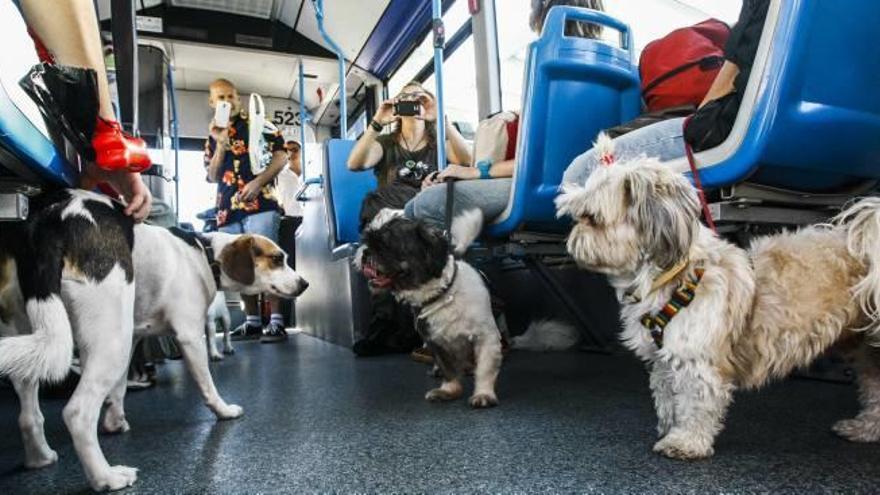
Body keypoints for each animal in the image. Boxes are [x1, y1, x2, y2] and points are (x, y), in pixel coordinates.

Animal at [350, 211, 502, 408]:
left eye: (386, 244)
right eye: (368, 242)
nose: (365, 253)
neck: (443, 295)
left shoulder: (486, 338)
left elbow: (485, 369)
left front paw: (484, 394)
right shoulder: (436, 342)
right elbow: (448, 369)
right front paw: (449, 390)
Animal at [556, 135, 880, 462]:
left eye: (591, 218)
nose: (571, 234)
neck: (675, 278)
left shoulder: (696, 362)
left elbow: (694, 405)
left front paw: (685, 441)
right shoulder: (664, 362)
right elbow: (667, 399)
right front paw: (670, 428)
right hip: (866, 352)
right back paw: (865, 428)